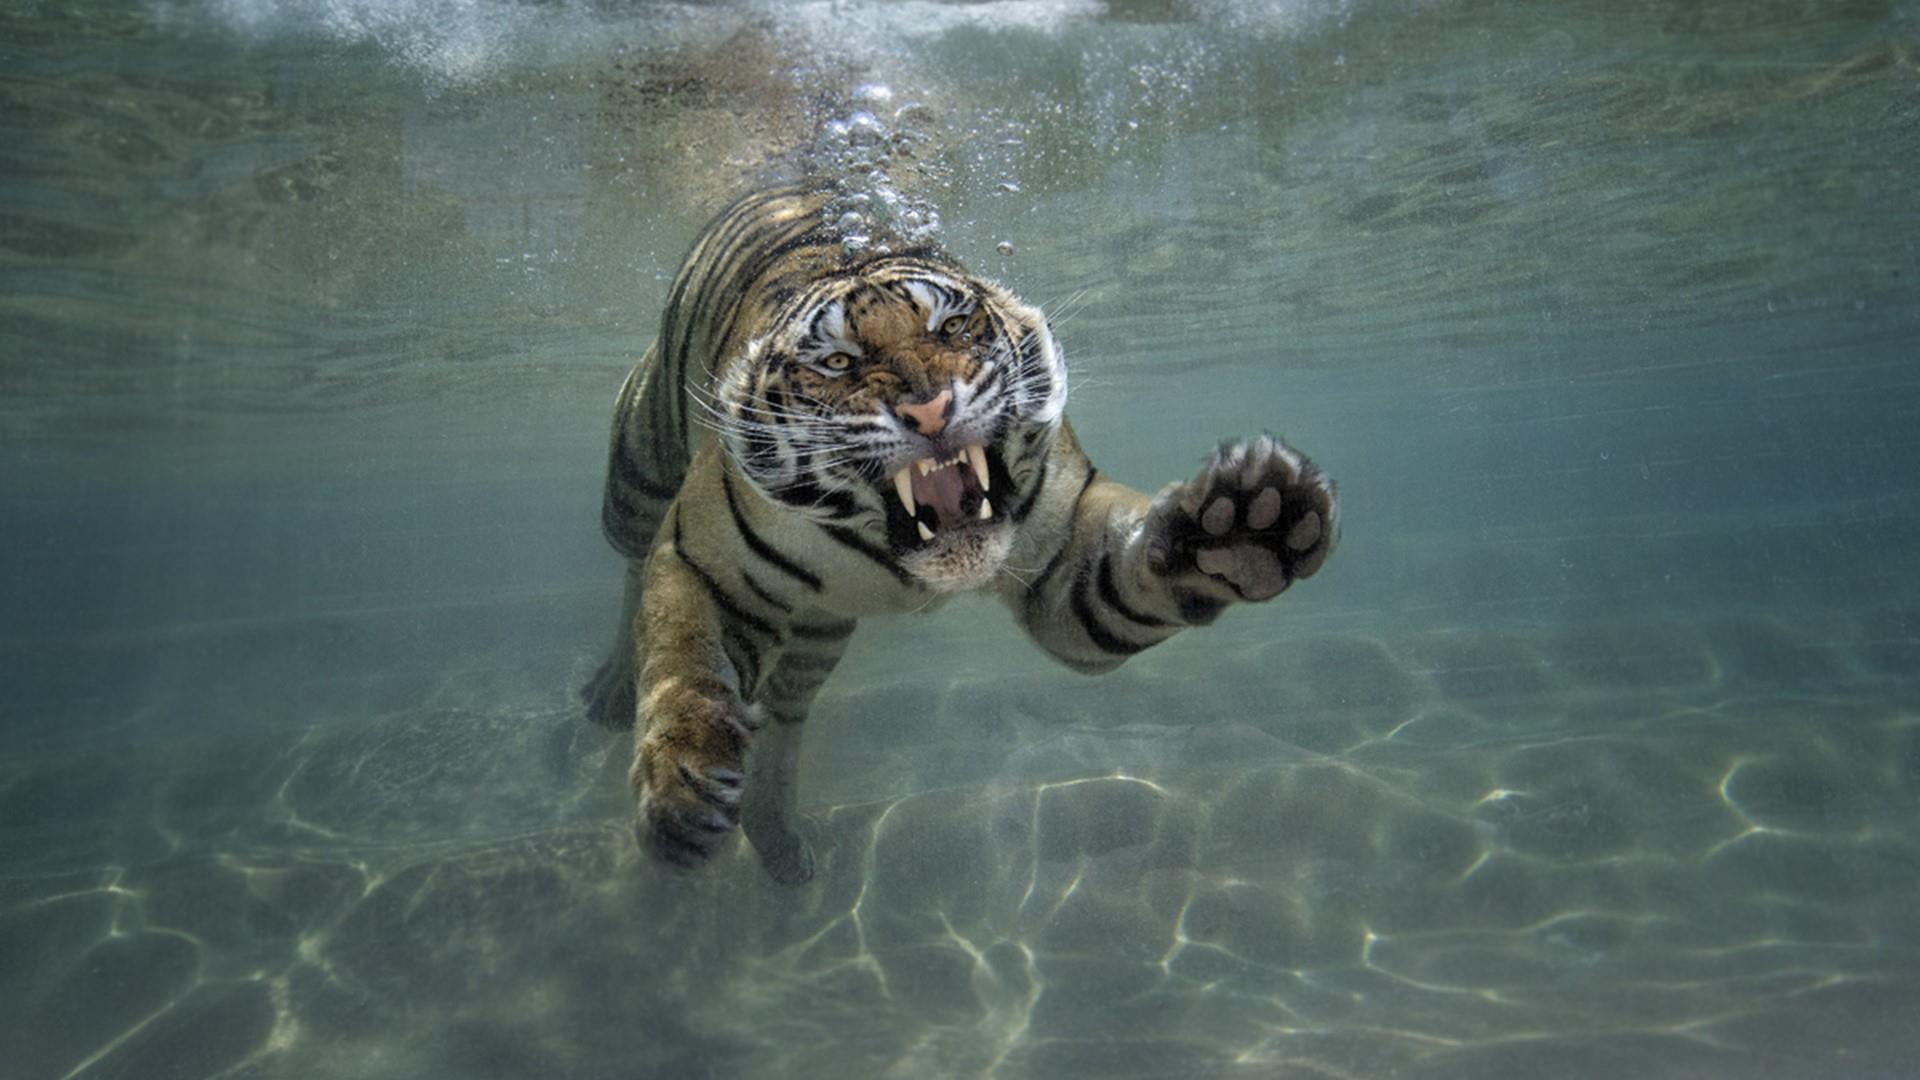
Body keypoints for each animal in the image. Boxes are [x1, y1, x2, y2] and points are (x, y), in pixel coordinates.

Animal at [584, 185, 1338, 884]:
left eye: (952, 326)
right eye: (838, 362)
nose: (929, 408)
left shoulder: (1064, 560)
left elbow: (1130, 577)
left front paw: (1246, 526)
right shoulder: (701, 561)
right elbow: (684, 661)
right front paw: (683, 786)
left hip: (819, 631)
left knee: (787, 711)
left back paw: (779, 842)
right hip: (638, 472)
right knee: (631, 568)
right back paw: (613, 694)